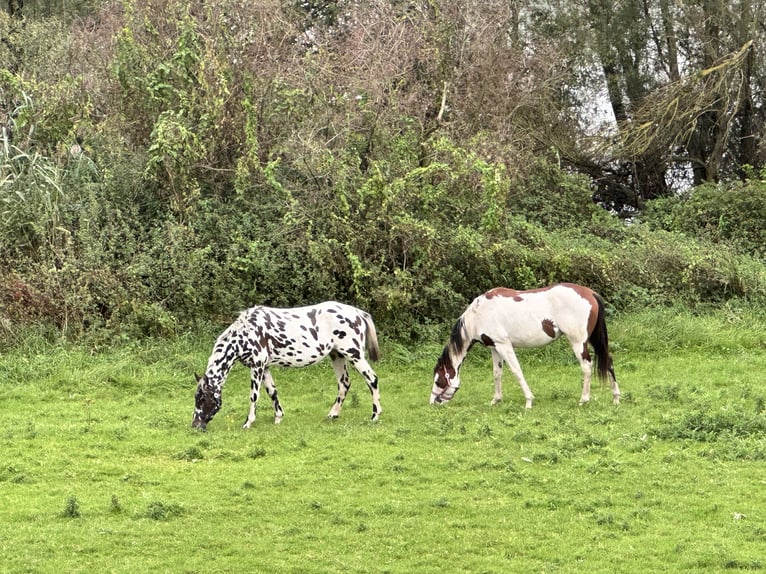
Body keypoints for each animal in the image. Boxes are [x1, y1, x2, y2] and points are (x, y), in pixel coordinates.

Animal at [194, 302, 382, 432]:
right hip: (337, 356)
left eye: (202, 399)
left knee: (372, 379)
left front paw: (248, 423)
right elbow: (272, 392)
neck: (246, 333)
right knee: (344, 384)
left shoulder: (257, 367)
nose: (195, 425)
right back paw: (333, 414)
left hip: (354, 354)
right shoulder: (265, 368)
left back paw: (375, 415)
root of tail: (359, 313)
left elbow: (254, 396)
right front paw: (278, 418)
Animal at [432, 284, 624, 410]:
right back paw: (615, 398)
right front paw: (496, 400)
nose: (433, 403)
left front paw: (529, 401)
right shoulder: (494, 348)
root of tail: (590, 293)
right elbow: (497, 373)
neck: (478, 314)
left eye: (438, 380)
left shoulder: (504, 345)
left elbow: (516, 371)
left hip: (578, 342)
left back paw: (584, 400)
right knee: (608, 361)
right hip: (593, 340)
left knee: (586, 367)